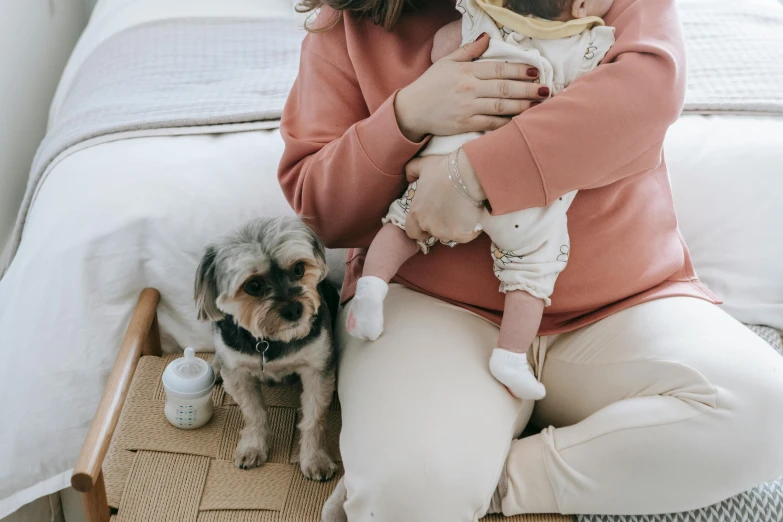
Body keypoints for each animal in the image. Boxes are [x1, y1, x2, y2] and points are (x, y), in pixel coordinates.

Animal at [195, 216, 340, 480]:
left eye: (299, 269)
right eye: (253, 285)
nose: (295, 310)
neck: (271, 340)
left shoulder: (318, 369)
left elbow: (314, 419)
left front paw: (315, 459)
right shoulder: (238, 374)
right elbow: (253, 413)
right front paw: (253, 446)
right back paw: (216, 366)